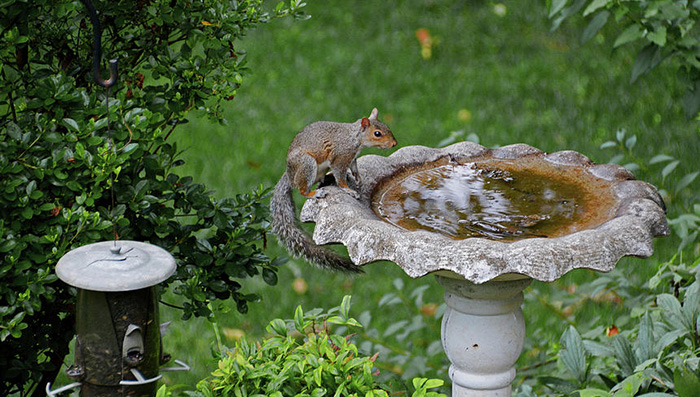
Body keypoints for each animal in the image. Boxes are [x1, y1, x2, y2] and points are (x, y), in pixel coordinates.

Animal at [270, 107, 396, 272]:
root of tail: (289, 176)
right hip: (306, 164)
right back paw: (315, 192)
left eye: (386, 127)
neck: (354, 138)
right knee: (302, 189)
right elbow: (340, 176)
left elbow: (354, 167)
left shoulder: (351, 158)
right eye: (377, 133)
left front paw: (357, 177)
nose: (394, 143)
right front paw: (348, 190)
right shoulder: (340, 157)